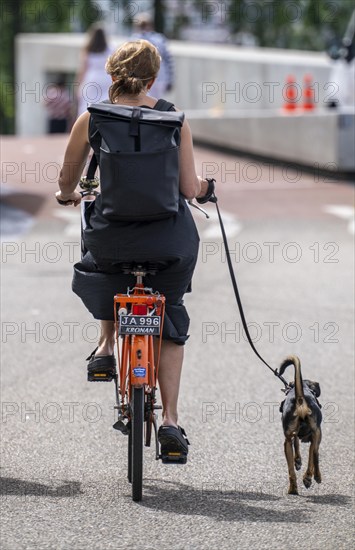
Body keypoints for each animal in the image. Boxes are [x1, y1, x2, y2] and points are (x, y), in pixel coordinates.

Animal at [280, 358, 324, 496]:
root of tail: (300, 399)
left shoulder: (292, 436)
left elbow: (297, 443)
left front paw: (298, 461)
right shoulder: (315, 437)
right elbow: (311, 456)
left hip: (287, 442)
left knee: (291, 471)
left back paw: (293, 488)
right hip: (316, 433)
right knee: (315, 455)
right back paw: (312, 477)